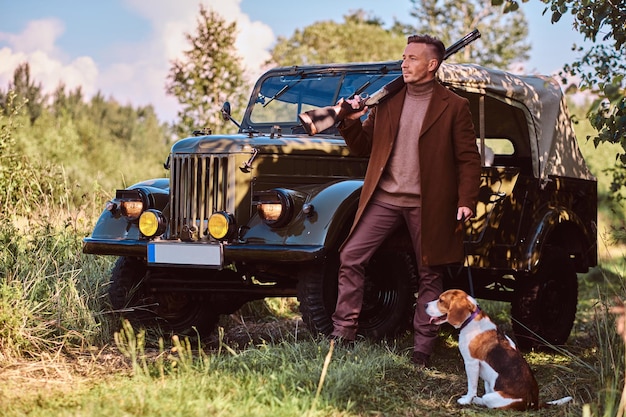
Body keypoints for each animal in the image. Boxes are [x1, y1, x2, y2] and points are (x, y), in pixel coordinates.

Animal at [424, 288, 572, 408]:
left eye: (441, 300)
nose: (424, 304)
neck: (471, 320)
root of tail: (533, 402)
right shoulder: (486, 378)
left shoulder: (471, 363)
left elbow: (471, 387)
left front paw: (467, 400)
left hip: (492, 397)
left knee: (486, 399)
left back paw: (476, 400)